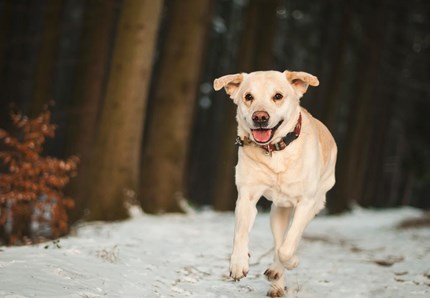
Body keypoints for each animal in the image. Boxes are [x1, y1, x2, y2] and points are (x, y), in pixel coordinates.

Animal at [213, 69, 338, 296]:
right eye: (248, 97)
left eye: (278, 96)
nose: (260, 117)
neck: (276, 151)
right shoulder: (246, 197)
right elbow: (240, 233)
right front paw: (238, 263)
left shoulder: (306, 202)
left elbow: (287, 248)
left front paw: (293, 261)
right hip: (278, 211)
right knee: (279, 240)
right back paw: (277, 279)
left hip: (316, 202)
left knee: (288, 241)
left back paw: (279, 270)